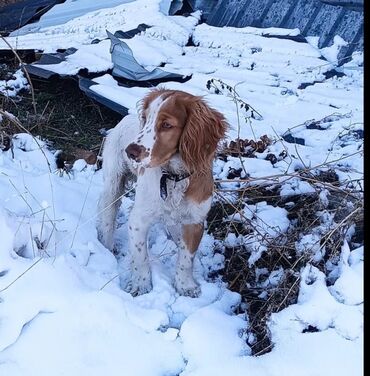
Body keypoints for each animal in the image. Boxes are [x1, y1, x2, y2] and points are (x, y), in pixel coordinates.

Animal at [97, 88, 227, 296]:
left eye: (167, 125)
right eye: (145, 118)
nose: (130, 151)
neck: (174, 177)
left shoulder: (194, 221)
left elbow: (186, 258)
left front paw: (185, 286)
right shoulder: (138, 221)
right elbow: (140, 256)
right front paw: (141, 285)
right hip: (113, 185)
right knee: (108, 217)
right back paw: (107, 247)